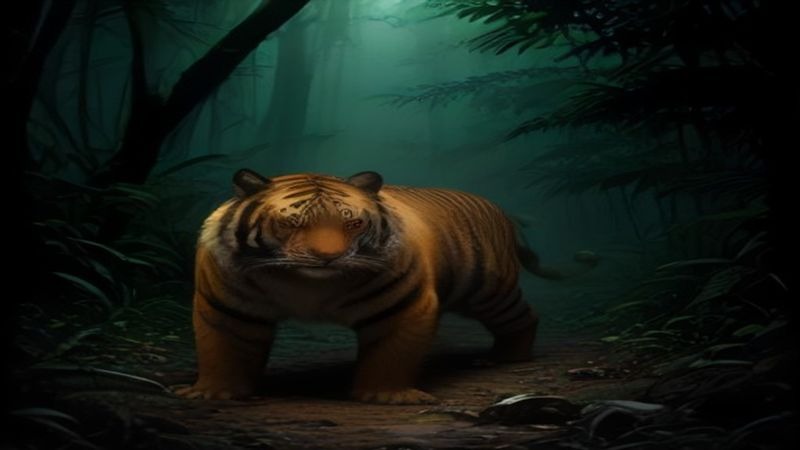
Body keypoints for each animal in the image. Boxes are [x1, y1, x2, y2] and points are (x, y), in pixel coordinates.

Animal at [176, 169, 577, 404]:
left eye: (352, 223)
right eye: (290, 223)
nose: (329, 257)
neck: (306, 285)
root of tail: (502, 211)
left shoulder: (403, 304)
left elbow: (391, 353)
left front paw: (385, 396)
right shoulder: (227, 307)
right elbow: (224, 350)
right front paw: (214, 393)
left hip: (489, 290)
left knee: (524, 316)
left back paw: (506, 356)